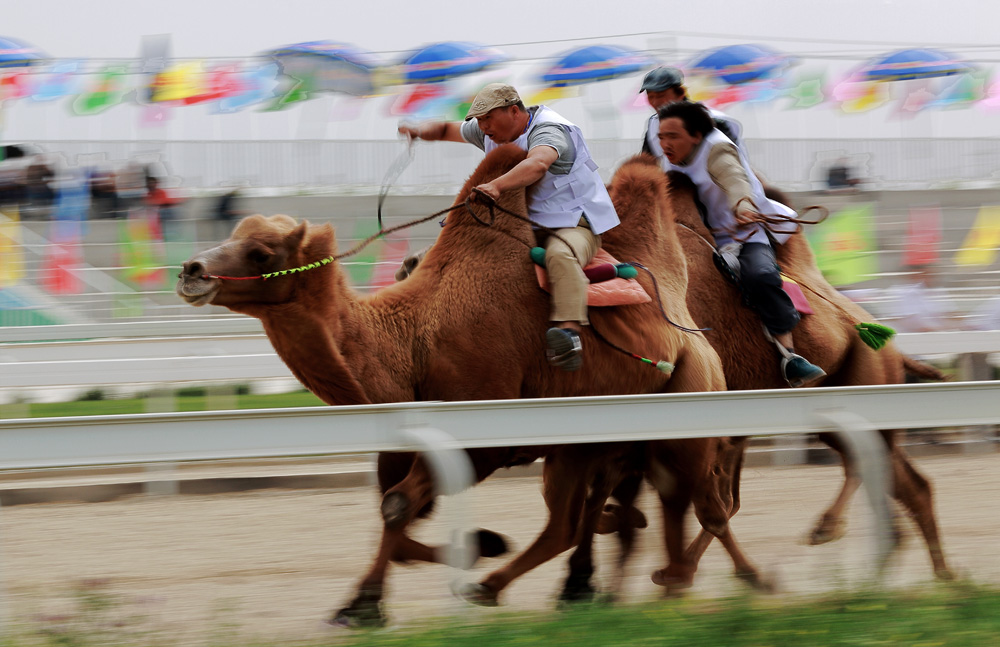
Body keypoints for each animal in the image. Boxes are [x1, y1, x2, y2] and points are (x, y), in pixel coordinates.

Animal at [176, 146, 732, 628]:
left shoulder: (485, 432)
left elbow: (398, 506)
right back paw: (541, 579)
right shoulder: (408, 440)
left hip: (683, 399)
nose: (191, 270)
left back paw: (666, 581)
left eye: (260, 252)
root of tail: (686, 320)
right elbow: (396, 514)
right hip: (586, 439)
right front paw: (468, 551)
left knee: (682, 498)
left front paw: (371, 602)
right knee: (574, 518)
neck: (411, 341)